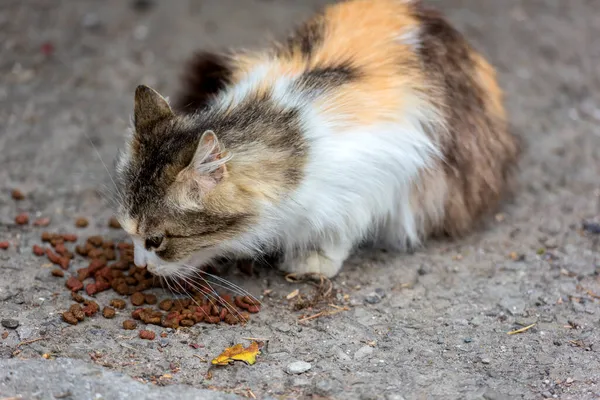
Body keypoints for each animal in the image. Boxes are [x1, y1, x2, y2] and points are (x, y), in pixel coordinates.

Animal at [115, 0, 516, 280]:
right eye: (128, 233)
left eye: (156, 240)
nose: (139, 266)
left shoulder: (383, 175)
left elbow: (343, 226)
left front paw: (314, 260)